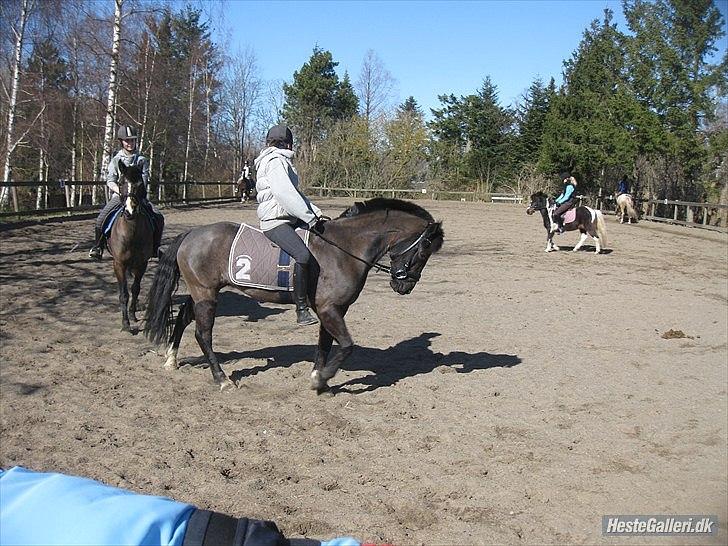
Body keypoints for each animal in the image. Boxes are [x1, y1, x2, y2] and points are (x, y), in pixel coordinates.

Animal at [144, 198, 444, 394]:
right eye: (423, 250)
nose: (405, 286)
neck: (344, 249)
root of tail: (192, 234)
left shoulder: (333, 309)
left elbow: (325, 344)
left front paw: (320, 380)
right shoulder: (329, 309)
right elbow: (347, 345)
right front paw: (320, 380)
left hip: (202, 291)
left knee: (184, 318)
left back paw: (171, 360)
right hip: (206, 294)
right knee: (202, 334)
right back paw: (222, 379)